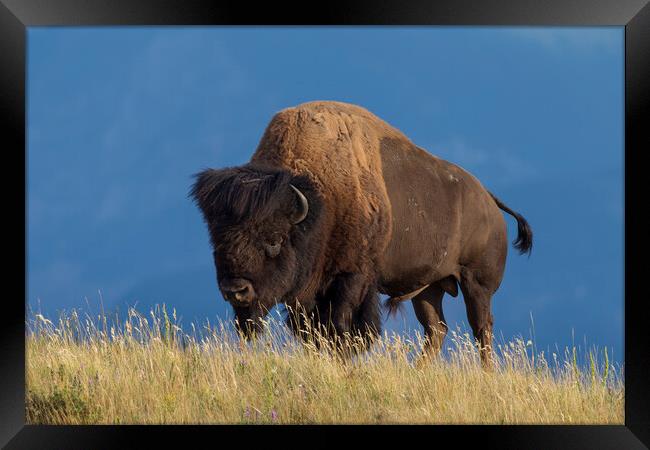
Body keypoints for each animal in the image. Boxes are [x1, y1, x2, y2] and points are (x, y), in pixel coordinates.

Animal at [189, 101, 532, 366]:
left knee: (481, 328)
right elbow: (311, 331)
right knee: (436, 329)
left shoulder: (352, 278)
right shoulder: (307, 293)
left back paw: (486, 373)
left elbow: (341, 326)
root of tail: (488, 199)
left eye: (274, 240)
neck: (321, 200)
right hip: (429, 288)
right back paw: (417, 371)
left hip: (477, 284)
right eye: (217, 241)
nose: (235, 290)